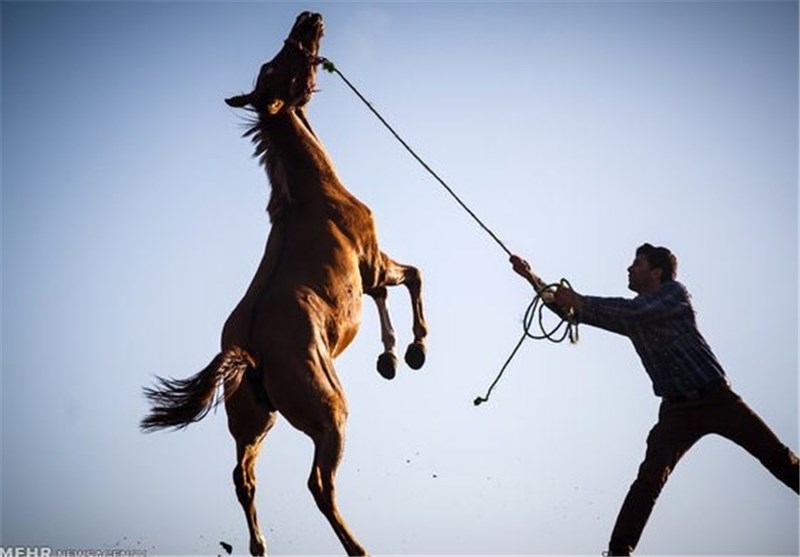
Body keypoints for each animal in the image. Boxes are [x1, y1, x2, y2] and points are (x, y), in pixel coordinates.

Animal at [142, 10, 432, 552]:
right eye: (280, 66)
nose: (307, 17)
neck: (314, 195)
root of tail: (247, 350)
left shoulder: (367, 277)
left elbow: (388, 294)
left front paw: (388, 356)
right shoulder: (372, 261)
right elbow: (412, 278)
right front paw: (413, 349)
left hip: (255, 422)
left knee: (244, 479)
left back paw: (259, 546)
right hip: (327, 413)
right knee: (318, 483)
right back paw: (357, 547)